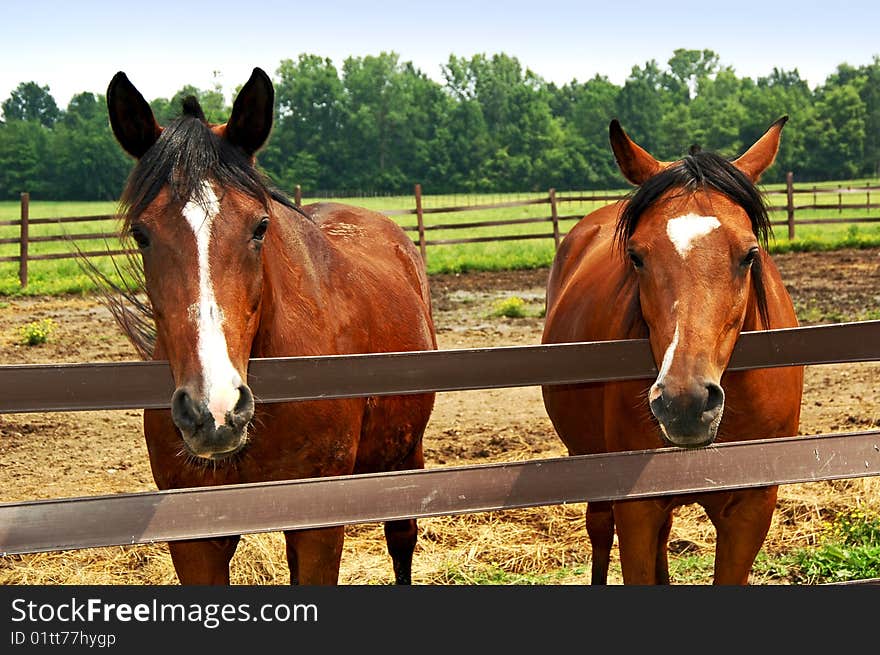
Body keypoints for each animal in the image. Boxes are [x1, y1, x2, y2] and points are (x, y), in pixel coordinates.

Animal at [106, 69, 436, 588]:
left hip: (405, 456)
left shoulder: (318, 528)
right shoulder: (196, 540)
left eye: (260, 226)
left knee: (401, 540)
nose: (214, 410)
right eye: (142, 234)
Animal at [540, 116, 800, 584]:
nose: (685, 402)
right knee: (599, 530)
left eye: (750, 253)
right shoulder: (637, 509)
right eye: (636, 256)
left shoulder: (751, 510)